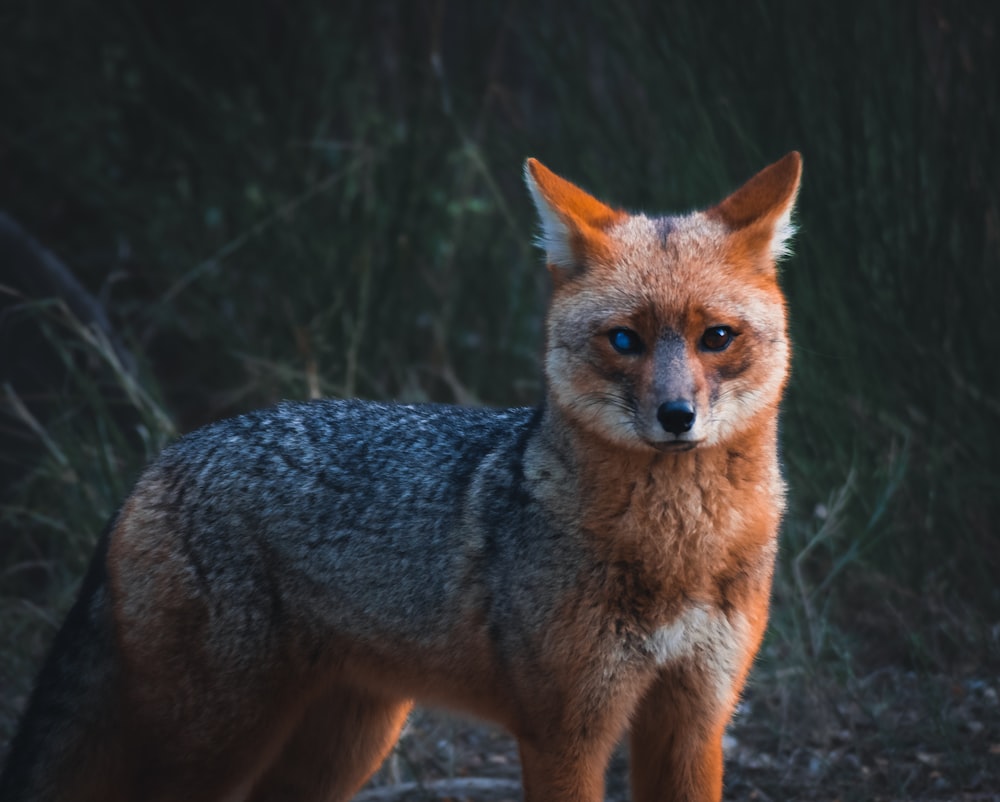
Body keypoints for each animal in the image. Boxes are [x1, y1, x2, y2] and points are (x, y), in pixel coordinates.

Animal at [0, 152, 796, 800]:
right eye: (624, 340)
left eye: (716, 337)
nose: (676, 416)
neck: (677, 550)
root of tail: (163, 459)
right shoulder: (564, 735)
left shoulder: (694, 723)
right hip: (221, 742)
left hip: (344, 746)